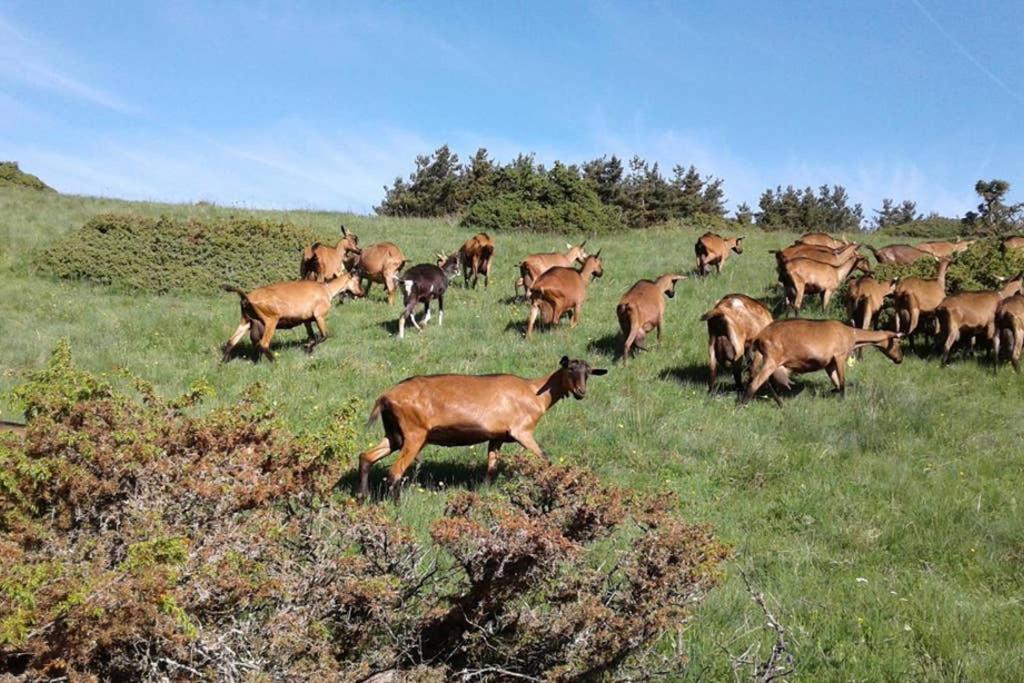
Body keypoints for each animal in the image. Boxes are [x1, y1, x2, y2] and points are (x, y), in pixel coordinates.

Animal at [223, 270, 364, 362]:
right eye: (357, 280)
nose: (362, 293)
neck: (327, 290)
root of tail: (246, 298)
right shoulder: (319, 316)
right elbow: (325, 335)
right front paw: (308, 348)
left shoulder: (307, 320)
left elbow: (312, 337)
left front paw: (308, 350)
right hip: (271, 320)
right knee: (264, 344)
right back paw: (275, 362)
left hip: (246, 321)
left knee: (231, 341)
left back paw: (223, 363)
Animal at [356, 356, 602, 499]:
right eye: (570, 370)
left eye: (588, 373)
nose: (581, 392)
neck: (535, 392)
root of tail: (385, 397)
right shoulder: (522, 432)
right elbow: (545, 458)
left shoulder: (497, 437)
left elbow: (491, 467)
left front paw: (484, 491)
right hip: (414, 434)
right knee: (394, 472)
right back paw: (396, 505)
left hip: (395, 435)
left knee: (366, 457)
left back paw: (362, 496)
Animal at [741, 319, 901, 405]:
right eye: (898, 342)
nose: (900, 359)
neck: (852, 335)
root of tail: (760, 336)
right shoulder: (839, 357)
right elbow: (842, 382)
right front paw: (843, 400)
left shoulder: (829, 364)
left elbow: (837, 384)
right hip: (772, 359)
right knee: (756, 382)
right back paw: (742, 406)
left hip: (763, 358)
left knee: (760, 380)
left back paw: (780, 403)